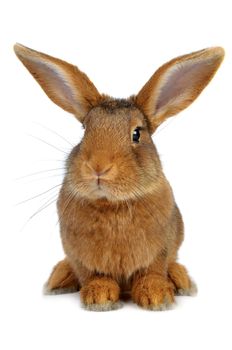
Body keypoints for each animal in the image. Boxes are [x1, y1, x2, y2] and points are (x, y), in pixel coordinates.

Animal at [13, 44, 224, 312]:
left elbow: (153, 271)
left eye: (136, 134)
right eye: (85, 130)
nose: (98, 167)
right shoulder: (80, 254)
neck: (111, 204)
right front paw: (100, 297)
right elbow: (92, 274)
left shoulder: (160, 250)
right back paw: (59, 278)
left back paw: (181, 279)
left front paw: (157, 297)